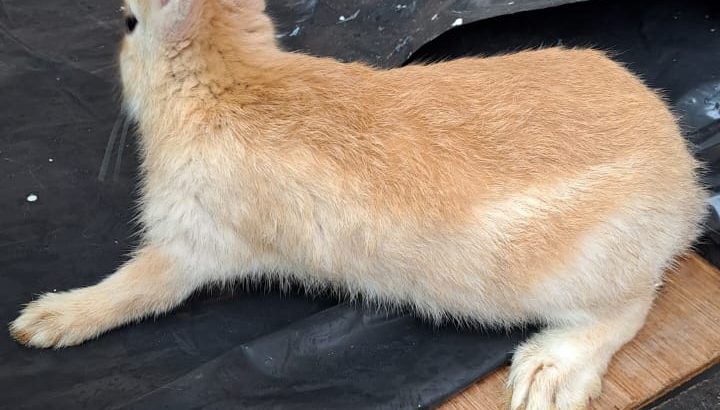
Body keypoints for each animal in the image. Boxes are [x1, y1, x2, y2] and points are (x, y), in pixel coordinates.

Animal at [10, 0, 707, 409]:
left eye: (129, 22)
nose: (117, 43)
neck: (228, 77)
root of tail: (688, 187)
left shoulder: (191, 244)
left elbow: (138, 288)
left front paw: (45, 322)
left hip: (572, 275)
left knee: (630, 307)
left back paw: (548, 374)